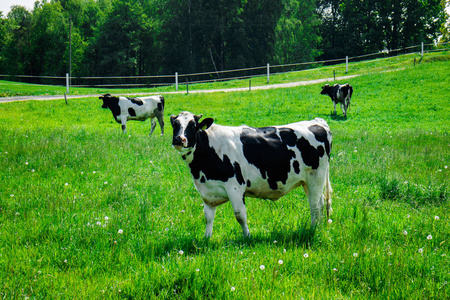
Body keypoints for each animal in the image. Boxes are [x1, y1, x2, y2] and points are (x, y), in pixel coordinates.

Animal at [171, 111, 332, 238]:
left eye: (193, 125)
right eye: (175, 125)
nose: (179, 139)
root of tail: (318, 121)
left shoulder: (235, 187)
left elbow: (240, 215)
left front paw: (247, 237)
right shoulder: (208, 192)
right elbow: (208, 217)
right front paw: (206, 238)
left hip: (316, 177)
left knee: (315, 205)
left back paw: (313, 230)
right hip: (307, 181)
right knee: (321, 202)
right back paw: (319, 227)